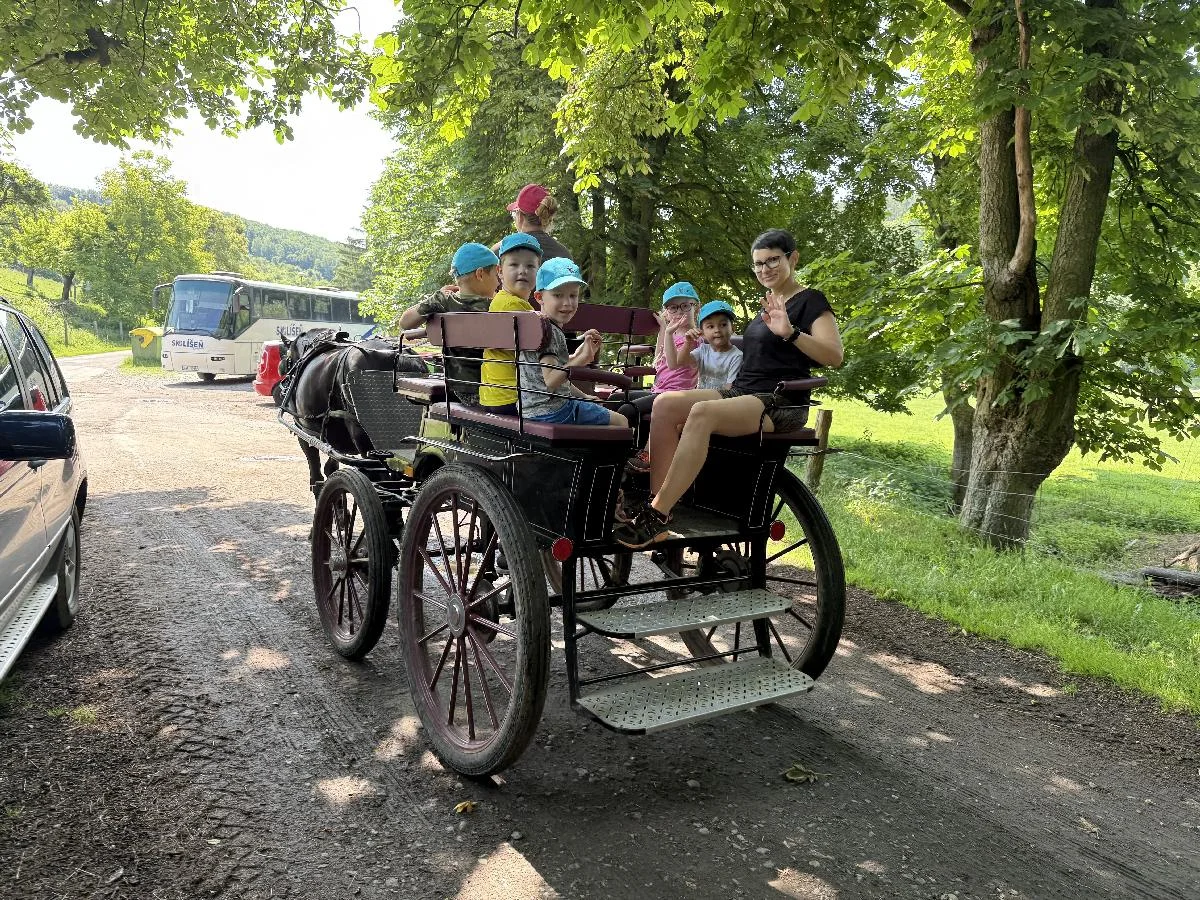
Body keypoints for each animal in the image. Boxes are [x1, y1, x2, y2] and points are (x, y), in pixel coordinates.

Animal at [278, 328, 429, 497]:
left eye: (286, 357)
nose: (283, 381)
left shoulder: (304, 433)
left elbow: (317, 477)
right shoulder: (332, 442)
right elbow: (330, 468)